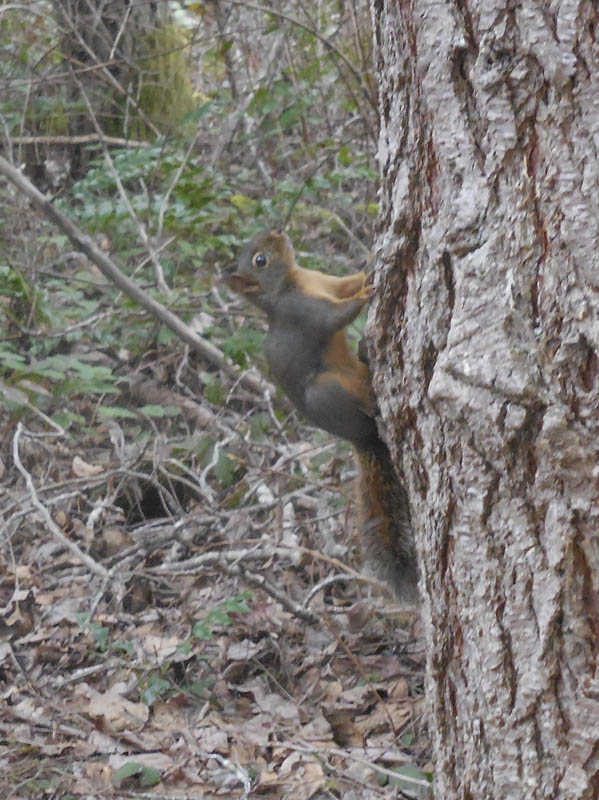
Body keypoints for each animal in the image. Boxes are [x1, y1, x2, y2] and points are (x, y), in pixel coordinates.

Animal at [225, 229, 418, 601]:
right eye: (260, 260)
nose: (277, 230)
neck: (296, 280)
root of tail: (362, 439)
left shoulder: (326, 283)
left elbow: (344, 283)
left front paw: (368, 267)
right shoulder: (304, 314)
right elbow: (336, 317)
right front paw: (366, 292)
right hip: (327, 391)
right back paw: (374, 402)